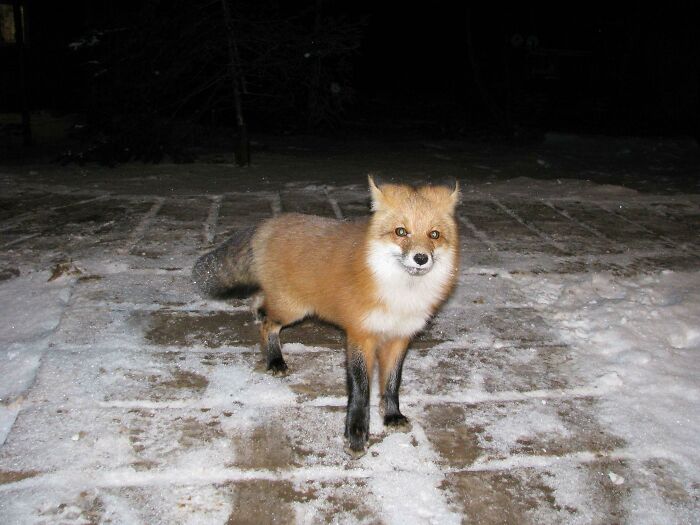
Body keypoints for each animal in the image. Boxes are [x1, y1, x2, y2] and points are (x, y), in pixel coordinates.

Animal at [192, 175, 460, 457]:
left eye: (434, 234)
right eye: (401, 232)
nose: (421, 258)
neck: (401, 295)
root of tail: (269, 222)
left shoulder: (399, 338)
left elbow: (391, 383)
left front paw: (392, 416)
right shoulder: (360, 335)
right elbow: (360, 388)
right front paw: (356, 434)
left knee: (259, 302)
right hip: (292, 309)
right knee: (267, 325)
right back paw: (274, 360)